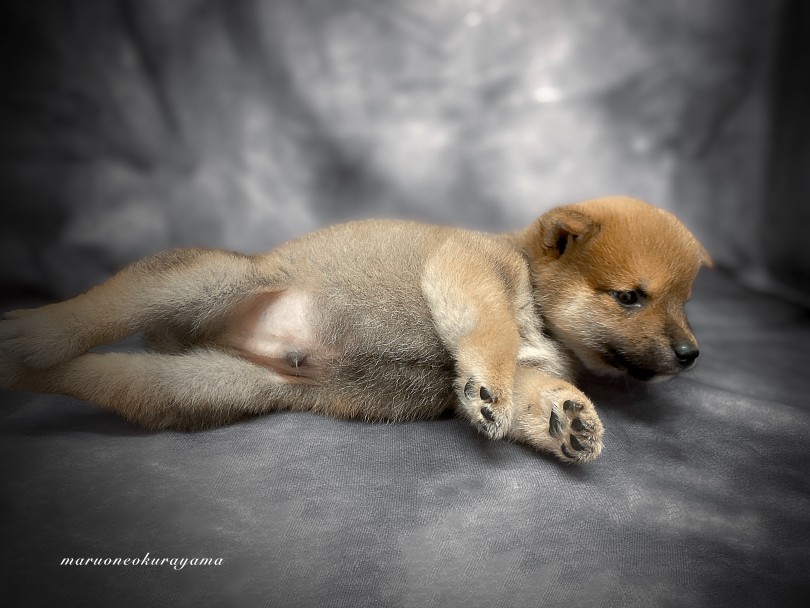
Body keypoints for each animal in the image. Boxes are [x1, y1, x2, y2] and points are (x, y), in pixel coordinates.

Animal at [0, 197, 708, 464]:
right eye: (630, 297)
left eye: (685, 301)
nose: (691, 353)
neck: (532, 290)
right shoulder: (469, 268)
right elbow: (492, 334)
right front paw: (492, 389)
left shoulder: (531, 366)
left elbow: (532, 393)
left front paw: (569, 418)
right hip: (205, 279)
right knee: (106, 307)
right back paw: (35, 331)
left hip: (201, 390)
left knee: (96, 377)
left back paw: (21, 366)